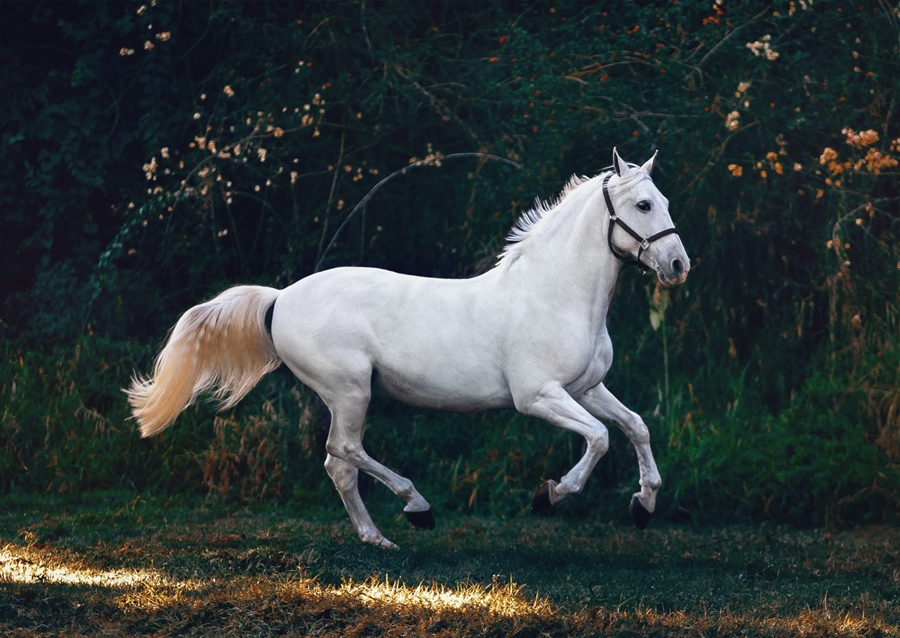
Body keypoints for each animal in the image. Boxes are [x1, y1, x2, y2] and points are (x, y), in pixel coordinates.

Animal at [126, 148, 690, 549]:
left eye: (665, 203)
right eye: (643, 204)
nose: (678, 265)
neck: (554, 294)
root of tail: (281, 298)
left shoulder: (587, 388)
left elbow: (635, 426)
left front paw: (643, 505)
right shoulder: (539, 397)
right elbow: (599, 438)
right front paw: (549, 495)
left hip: (347, 396)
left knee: (338, 465)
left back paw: (378, 538)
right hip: (350, 391)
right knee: (344, 452)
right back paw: (417, 508)